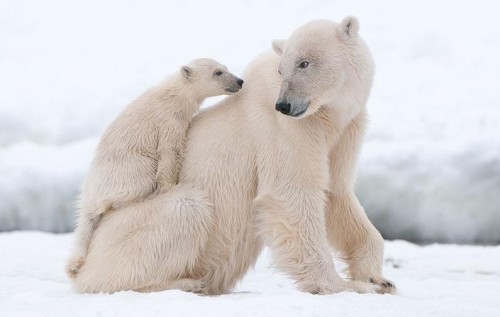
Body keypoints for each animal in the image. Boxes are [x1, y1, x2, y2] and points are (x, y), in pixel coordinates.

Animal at [67, 58, 244, 278]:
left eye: (226, 68)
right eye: (217, 72)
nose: (239, 81)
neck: (174, 93)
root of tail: (88, 193)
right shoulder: (168, 119)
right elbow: (169, 151)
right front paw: (168, 186)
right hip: (128, 169)